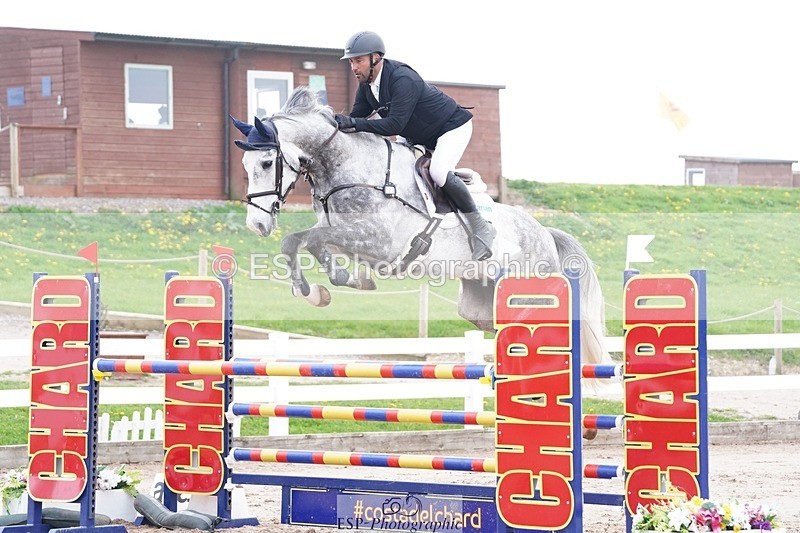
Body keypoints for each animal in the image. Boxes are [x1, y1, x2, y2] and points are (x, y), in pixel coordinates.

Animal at [231, 86, 613, 371]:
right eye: (245, 165)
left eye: (267, 162)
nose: (257, 224)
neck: (353, 168)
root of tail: (545, 233)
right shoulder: (349, 237)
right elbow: (300, 243)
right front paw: (320, 290)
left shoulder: (378, 241)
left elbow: (310, 239)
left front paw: (333, 282)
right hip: (478, 304)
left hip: (529, 294)